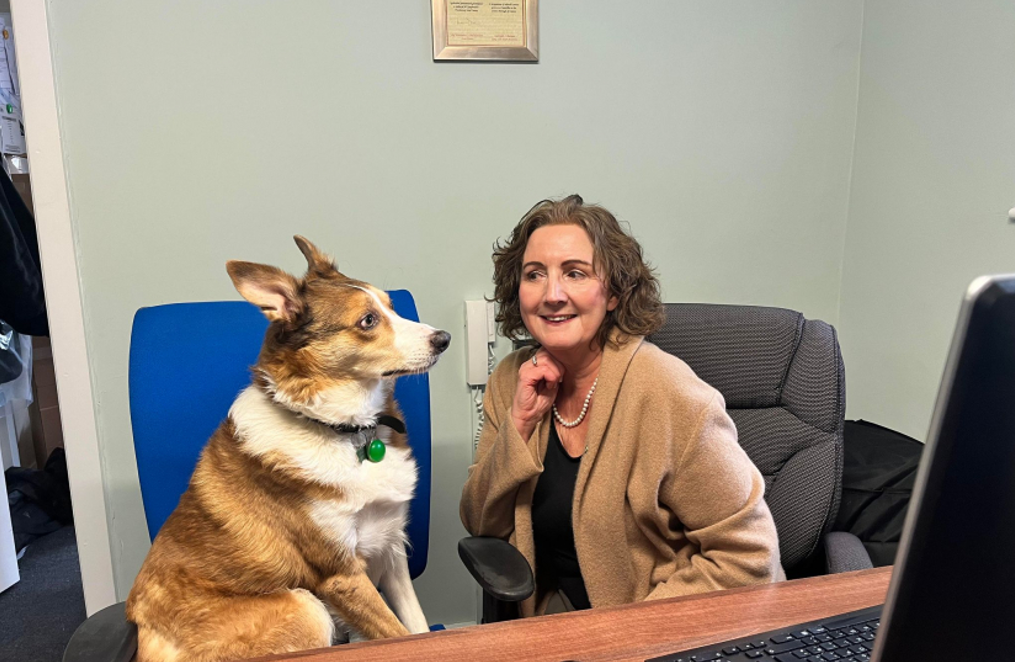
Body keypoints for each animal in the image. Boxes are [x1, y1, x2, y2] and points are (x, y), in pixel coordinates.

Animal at [124, 235, 450, 657]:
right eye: (368, 321)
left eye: (392, 306)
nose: (444, 339)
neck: (343, 429)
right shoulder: (341, 575)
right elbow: (398, 635)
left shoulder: (391, 548)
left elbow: (419, 628)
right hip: (306, 607)